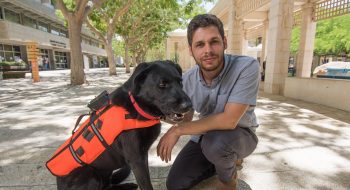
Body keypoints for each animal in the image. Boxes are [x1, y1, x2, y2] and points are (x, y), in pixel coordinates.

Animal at [55, 60, 191, 190]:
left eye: (180, 82)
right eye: (162, 84)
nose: (189, 105)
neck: (138, 107)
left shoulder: (142, 156)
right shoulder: (136, 159)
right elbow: (146, 185)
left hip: (106, 171)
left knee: (108, 186)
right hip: (91, 174)